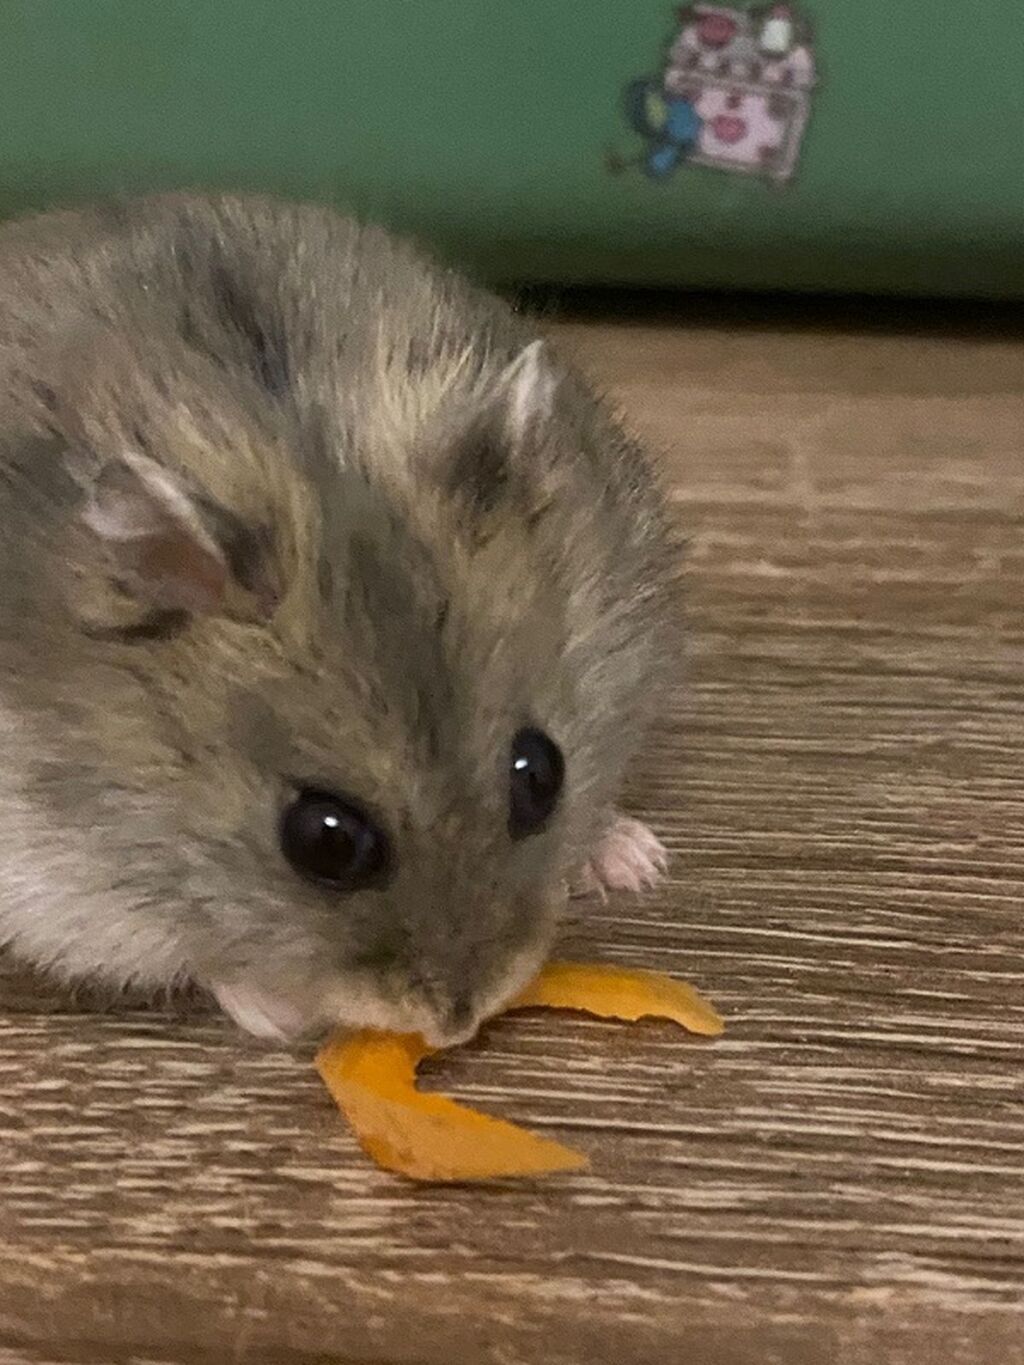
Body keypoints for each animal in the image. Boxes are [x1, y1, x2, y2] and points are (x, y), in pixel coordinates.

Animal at [0, 194, 678, 1045]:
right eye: (325, 841)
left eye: (541, 774)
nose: (459, 1022)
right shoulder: (61, 885)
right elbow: (196, 951)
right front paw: (278, 1015)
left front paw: (636, 858)